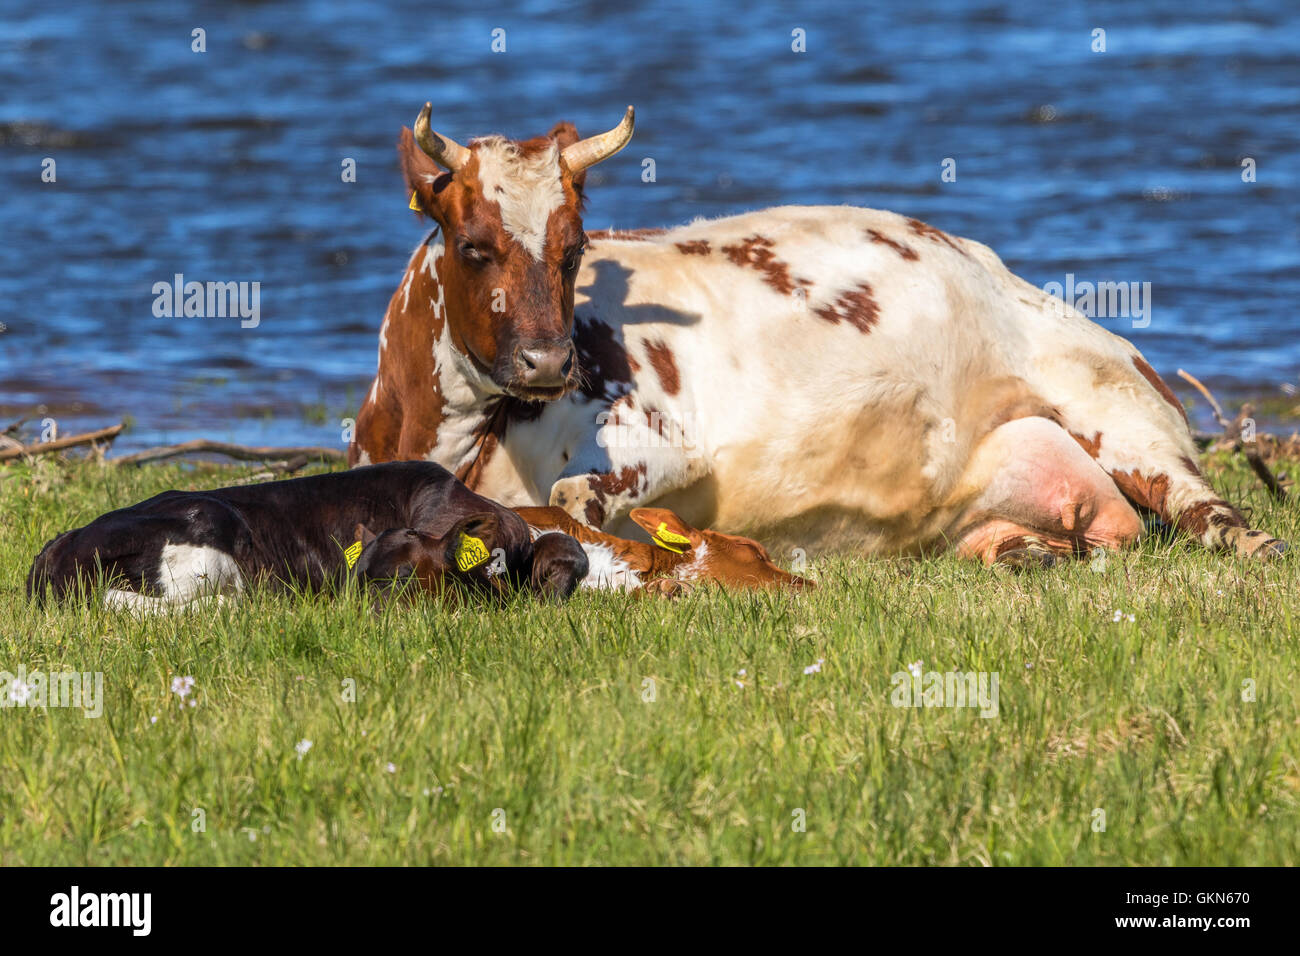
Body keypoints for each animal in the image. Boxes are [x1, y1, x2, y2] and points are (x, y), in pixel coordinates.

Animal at [349, 103, 1286, 567]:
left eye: (575, 245)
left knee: (1207, 508)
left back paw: (1253, 540)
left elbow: (576, 499)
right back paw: (1027, 553)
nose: (550, 361)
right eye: (474, 246)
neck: (455, 440)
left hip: (1118, 408)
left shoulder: (661, 444)